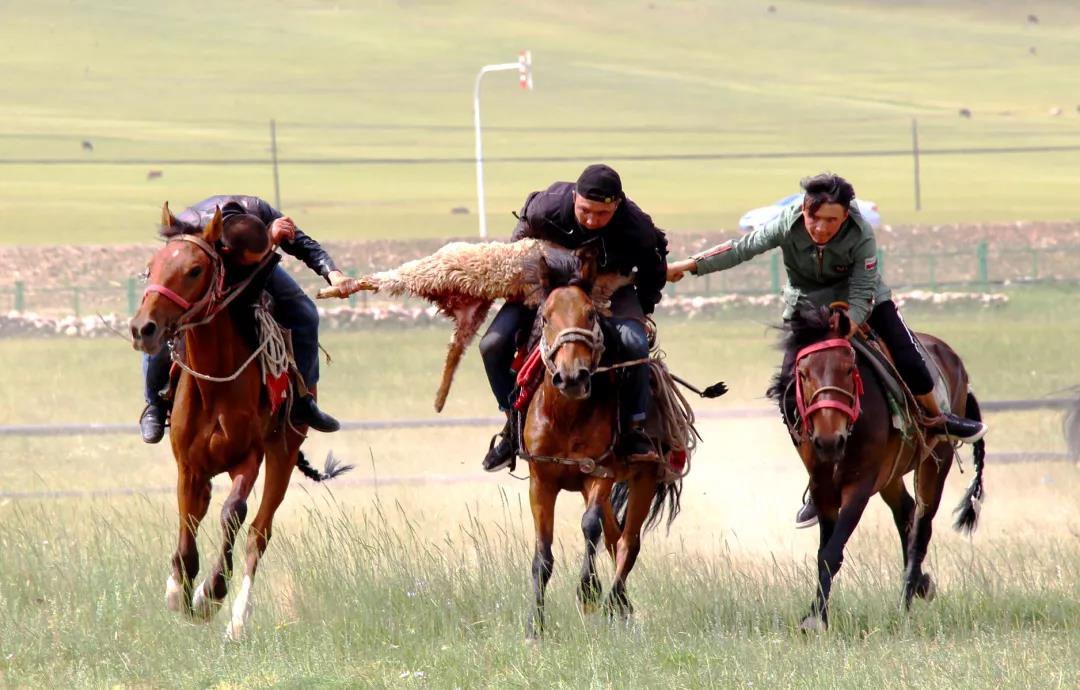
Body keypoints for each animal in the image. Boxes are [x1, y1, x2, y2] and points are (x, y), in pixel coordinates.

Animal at [519, 249, 682, 639]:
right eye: (544, 317)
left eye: (590, 314)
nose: (572, 377)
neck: (565, 415)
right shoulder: (540, 481)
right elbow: (542, 554)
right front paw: (535, 626)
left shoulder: (600, 473)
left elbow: (589, 526)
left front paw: (588, 591)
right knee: (614, 536)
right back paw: (622, 607)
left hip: (643, 478)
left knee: (627, 542)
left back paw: (613, 603)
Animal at [770, 306, 987, 632]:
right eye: (803, 374)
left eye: (849, 369)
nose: (829, 440)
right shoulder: (823, 488)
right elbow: (824, 551)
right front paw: (817, 614)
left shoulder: (859, 488)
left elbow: (832, 552)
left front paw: (816, 620)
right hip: (890, 476)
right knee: (906, 513)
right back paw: (921, 583)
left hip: (936, 462)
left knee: (921, 526)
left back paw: (906, 600)